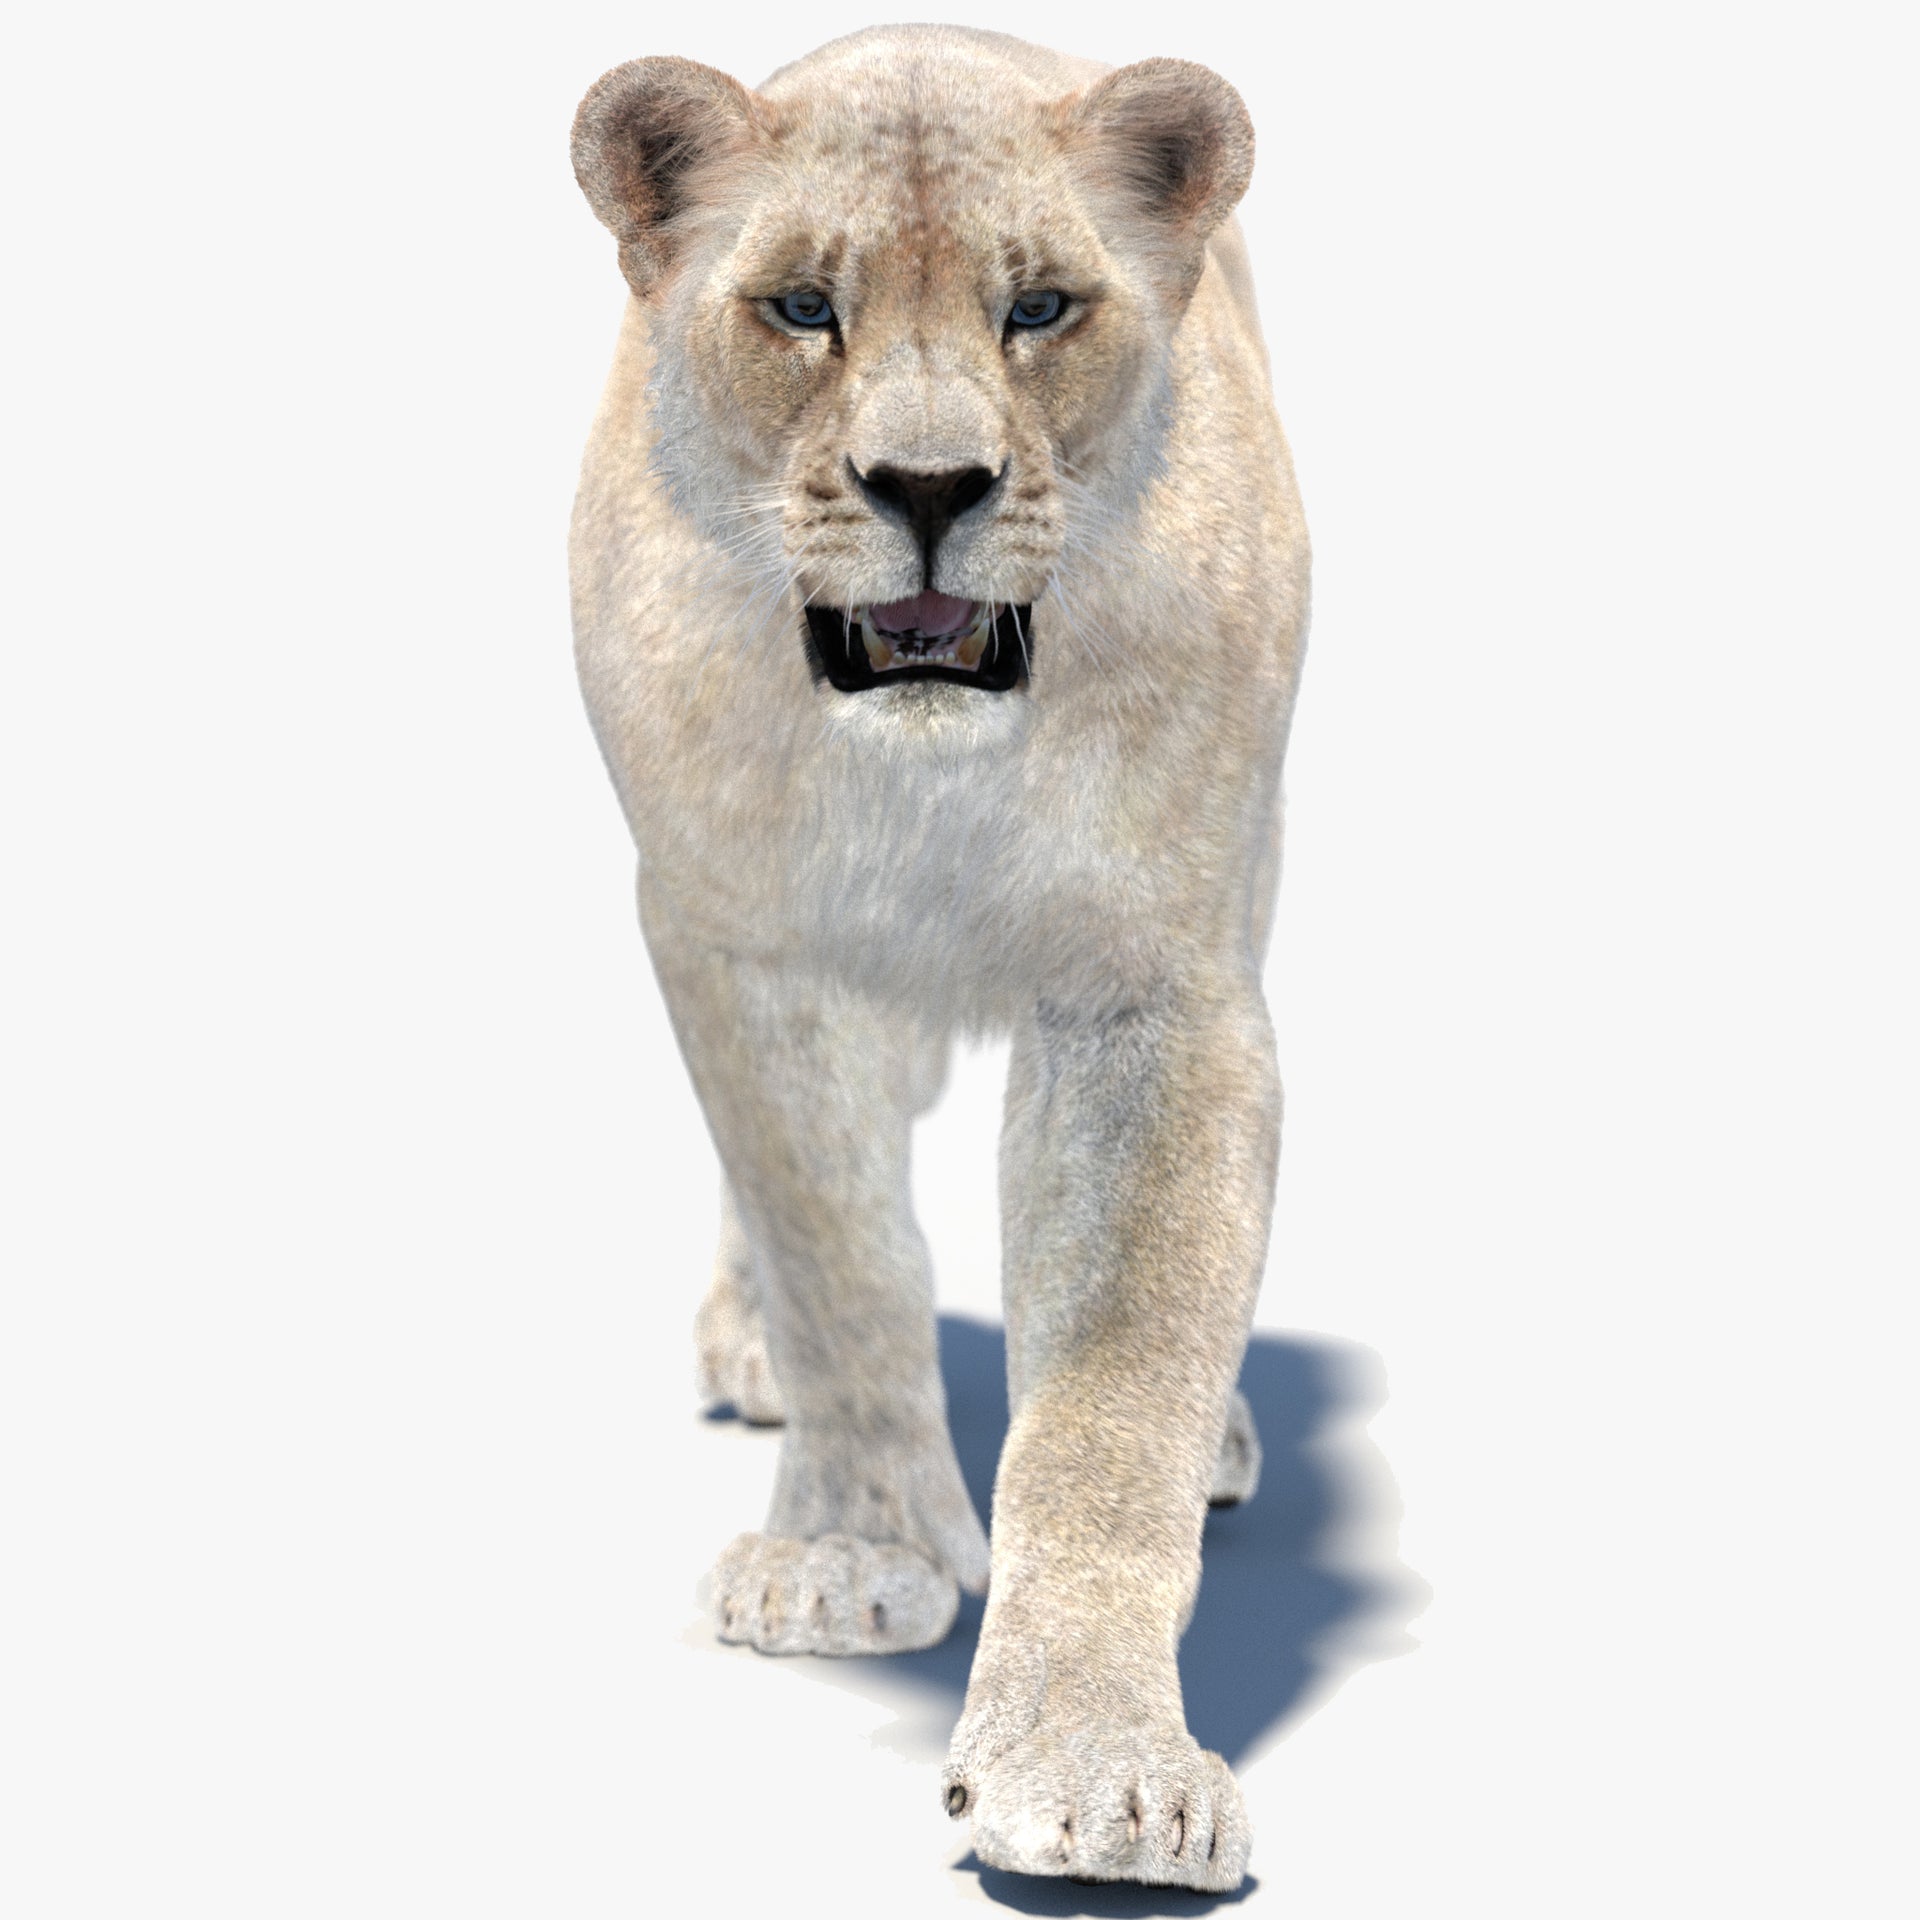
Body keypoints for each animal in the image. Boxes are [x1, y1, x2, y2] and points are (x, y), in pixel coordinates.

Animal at [569, 25, 1309, 1891]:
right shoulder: (733, 939)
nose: (924, 488)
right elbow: (833, 1253)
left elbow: (1119, 1381)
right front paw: (849, 1553)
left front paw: (1102, 1775)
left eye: (1039, 308)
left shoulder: (1160, 985)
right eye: (801, 309)